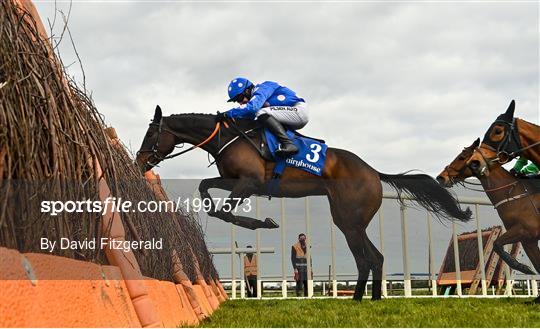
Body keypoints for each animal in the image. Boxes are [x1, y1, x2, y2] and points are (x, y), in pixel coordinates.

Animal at [136, 105, 472, 300]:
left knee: (366, 259)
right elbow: (206, 189)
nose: (140, 161)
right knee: (375, 258)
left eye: (151, 133)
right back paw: (370, 299)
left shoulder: (250, 182)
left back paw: (359, 298)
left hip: (349, 222)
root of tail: (374, 171)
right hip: (348, 221)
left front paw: (261, 222)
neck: (228, 137)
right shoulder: (233, 180)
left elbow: (227, 213)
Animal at [436, 138, 540, 302]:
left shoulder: (525, 230)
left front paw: (522, 267)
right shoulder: (528, 240)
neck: (513, 195)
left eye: (461, 157)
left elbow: (497, 244)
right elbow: (537, 264)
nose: (441, 177)